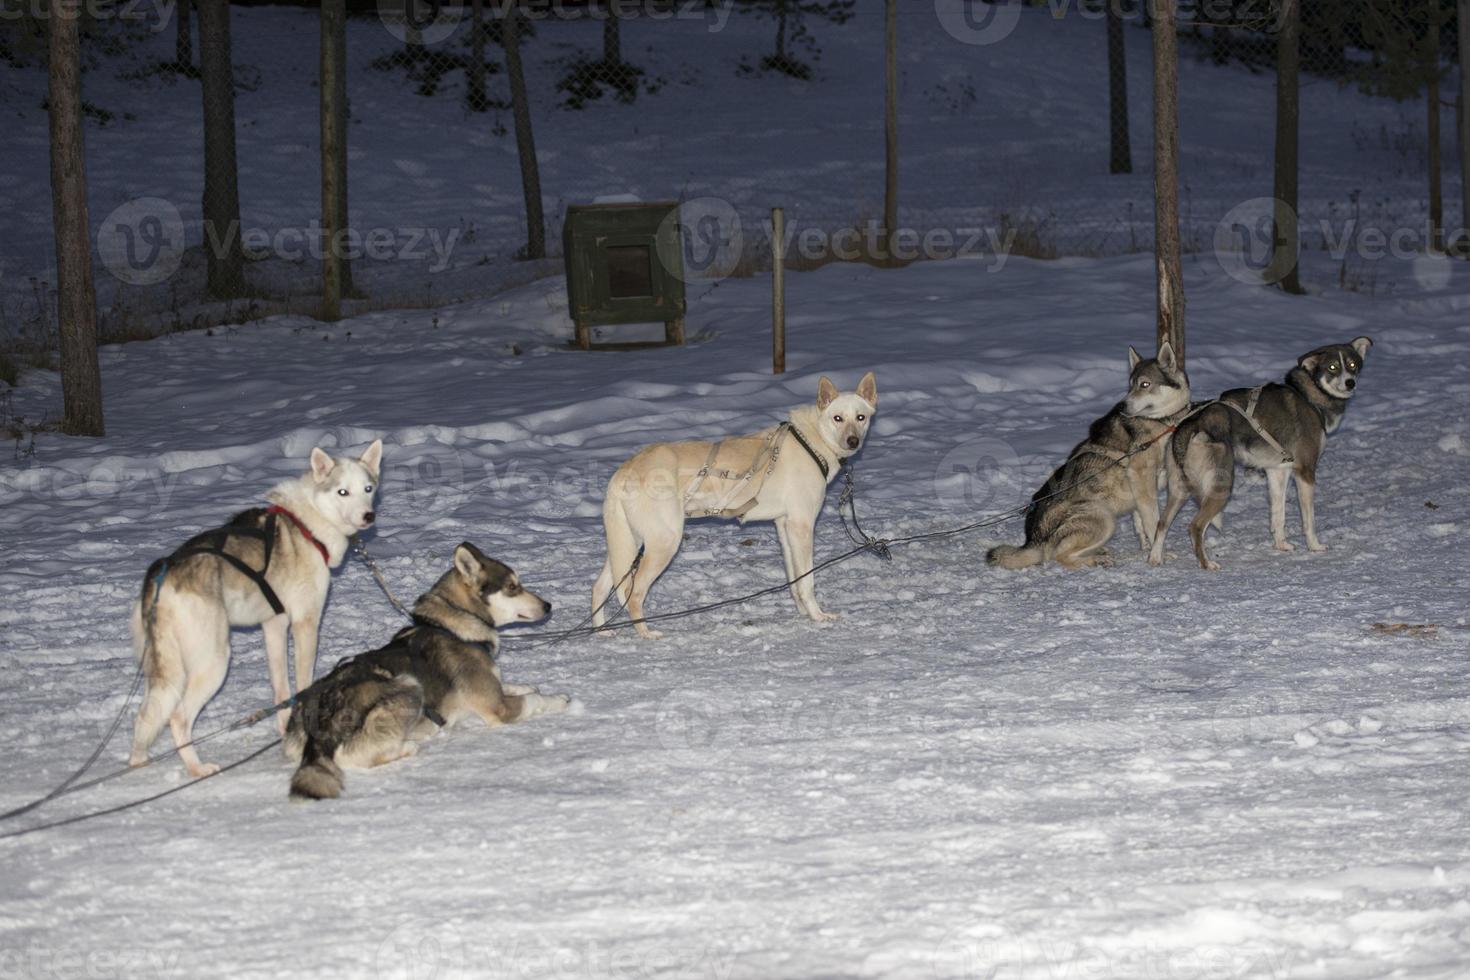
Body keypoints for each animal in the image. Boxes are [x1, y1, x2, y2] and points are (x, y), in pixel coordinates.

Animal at [127, 443, 382, 775]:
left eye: (368, 488)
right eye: (343, 492)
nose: (368, 515)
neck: (309, 523)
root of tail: (163, 573)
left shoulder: (274, 625)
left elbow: (282, 689)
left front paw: (285, 728)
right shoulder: (305, 624)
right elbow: (303, 684)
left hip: (162, 669)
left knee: (146, 714)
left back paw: (139, 760)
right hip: (213, 662)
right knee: (178, 717)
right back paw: (197, 768)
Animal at [283, 543, 564, 805]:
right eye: (513, 586)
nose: (548, 605)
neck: (455, 629)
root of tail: (323, 719)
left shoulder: (494, 688)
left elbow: (515, 685)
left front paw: (527, 686)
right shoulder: (499, 708)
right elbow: (534, 700)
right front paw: (560, 700)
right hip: (408, 685)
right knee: (351, 757)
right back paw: (410, 745)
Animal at [590, 371, 876, 640]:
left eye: (860, 417)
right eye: (838, 418)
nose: (853, 441)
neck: (812, 441)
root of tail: (625, 470)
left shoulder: (785, 526)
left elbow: (794, 581)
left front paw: (803, 612)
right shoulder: (802, 526)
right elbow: (807, 582)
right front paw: (817, 616)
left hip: (627, 544)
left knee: (600, 587)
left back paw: (601, 629)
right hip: (663, 543)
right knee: (633, 592)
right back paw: (646, 633)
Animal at [981, 348, 1187, 570]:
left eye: (1145, 384)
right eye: (1131, 385)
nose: (1122, 406)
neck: (1161, 422)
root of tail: (1034, 541)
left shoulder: (1143, 491)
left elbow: (1140, 523)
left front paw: (1147, 548)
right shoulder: (1143, 481)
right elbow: (1154, 524)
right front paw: (1159, 554)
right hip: (1103, 516)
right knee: (1060, 556)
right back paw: (1096, 559)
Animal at [1146, 337, 1375, 570]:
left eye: (1352, 365)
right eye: (1333, 367)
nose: (1350, 383)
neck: (1309, 396)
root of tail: (1192, 423)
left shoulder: (1277, 472)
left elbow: (1278, 515)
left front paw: (1281, 545)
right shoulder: (1305, 472)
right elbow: (1308, 520)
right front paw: (1314, 546)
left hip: (1179, 489)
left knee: (1162, 523)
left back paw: (1155, 558)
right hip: (1220, 486)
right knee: (1195, 526)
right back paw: (1207, 563)